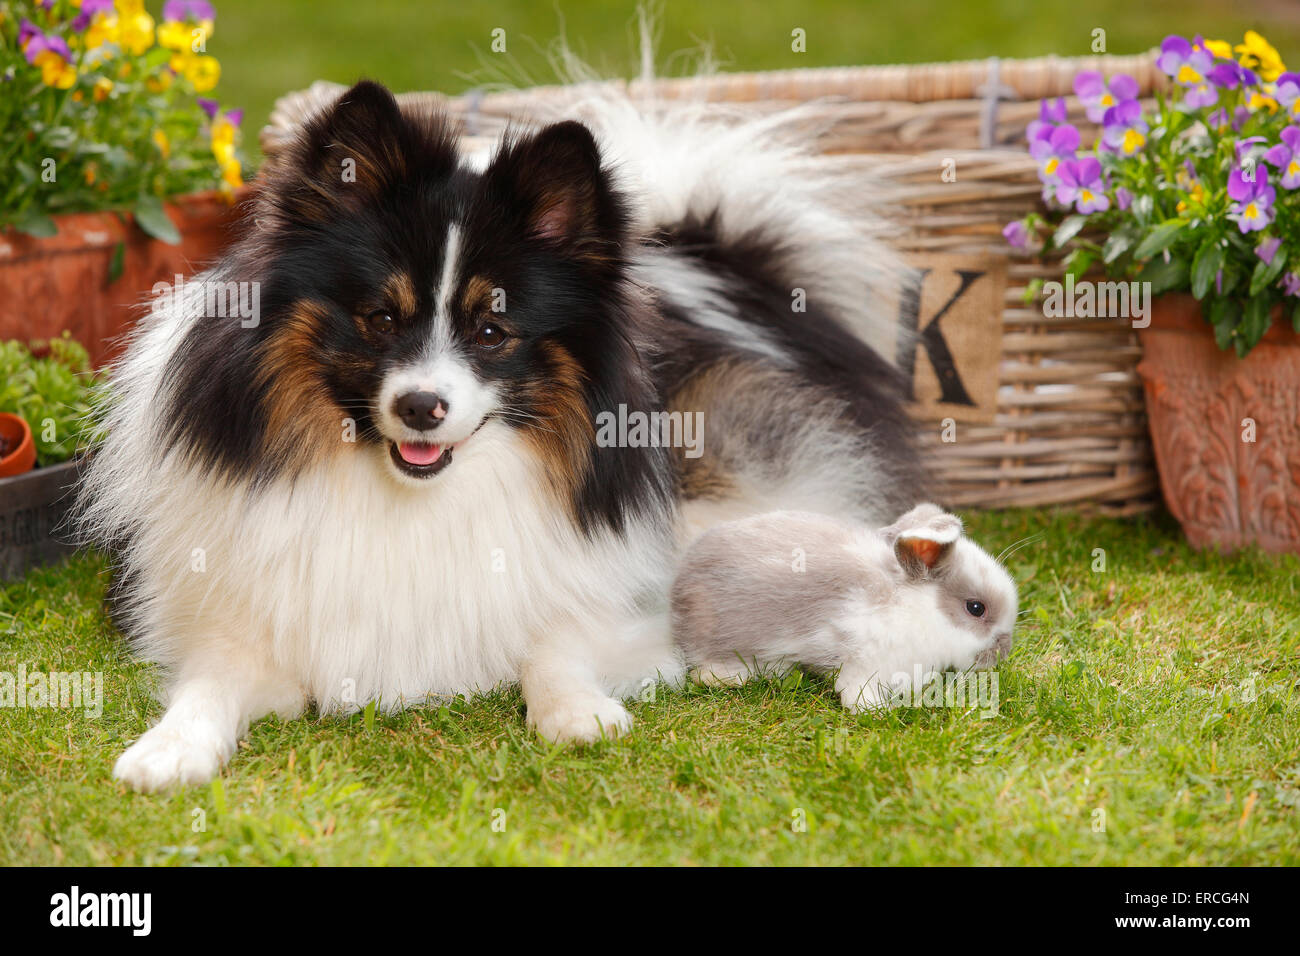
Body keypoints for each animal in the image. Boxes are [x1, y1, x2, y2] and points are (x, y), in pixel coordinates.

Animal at [78, 78, 925, 790]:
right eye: (380, 318)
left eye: (491, 330)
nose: (422, 406)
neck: (417, 495)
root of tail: (714, 263)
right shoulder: (229, 622)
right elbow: (209, 683)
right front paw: (168, 749)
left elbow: (558, 642)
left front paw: (579, 711)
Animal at [676, 504, 1019, 712]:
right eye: (976, 608)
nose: (1004, 650)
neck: (912, 604)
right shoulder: (866, 659)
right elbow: (855, 689)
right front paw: (876, 710)